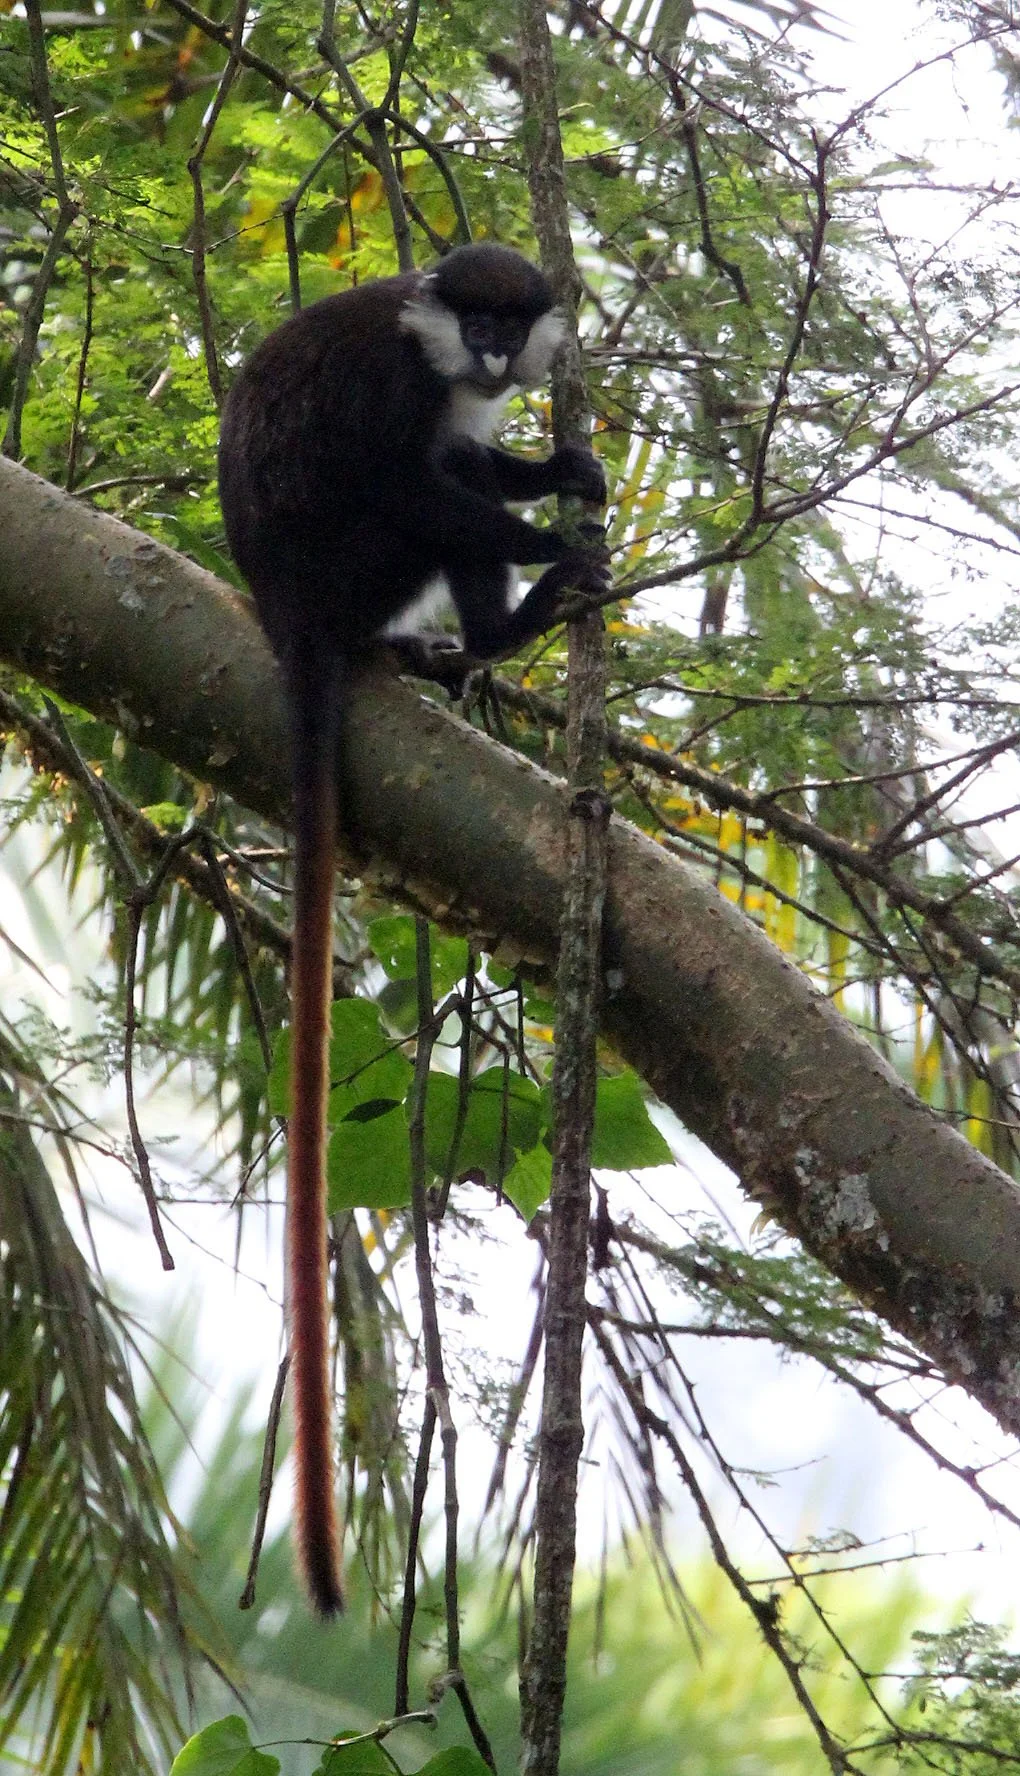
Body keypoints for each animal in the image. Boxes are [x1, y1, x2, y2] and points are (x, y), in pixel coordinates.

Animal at [218, 241, 609, 1617]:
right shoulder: (398, 390)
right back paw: (503, 625)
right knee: (424, 503)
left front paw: (556, 470)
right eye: (473, 317)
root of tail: (283, 612)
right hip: (356, 561)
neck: (432, 346)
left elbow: (474, 460)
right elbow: (416, 478)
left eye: (508, 319)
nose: (492, 356)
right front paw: (546, 529)